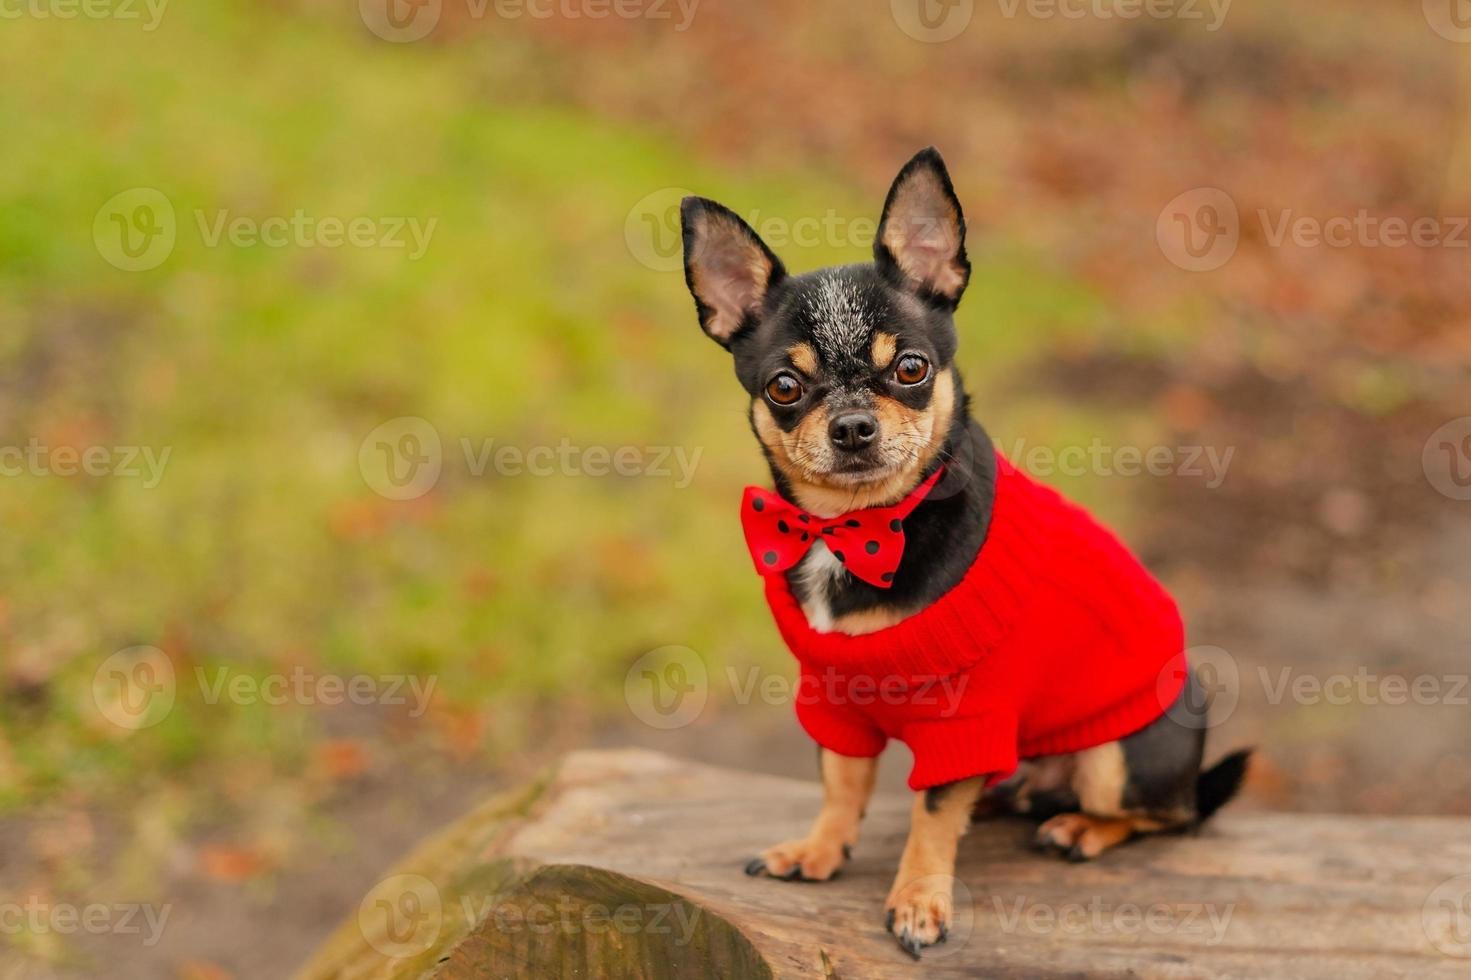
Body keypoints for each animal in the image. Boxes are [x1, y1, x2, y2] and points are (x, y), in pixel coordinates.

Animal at [673, 144, 1241, 953]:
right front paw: (818, 850)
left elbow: (932, 815)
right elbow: (841, 783)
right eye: (784, 386)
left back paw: (1081, 828)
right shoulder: (833, 701)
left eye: (910, 369)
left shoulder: (965, 719)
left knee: (1167, 815)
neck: (855, 528)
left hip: (1120, 757)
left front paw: (917, 900)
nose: (852, 425)